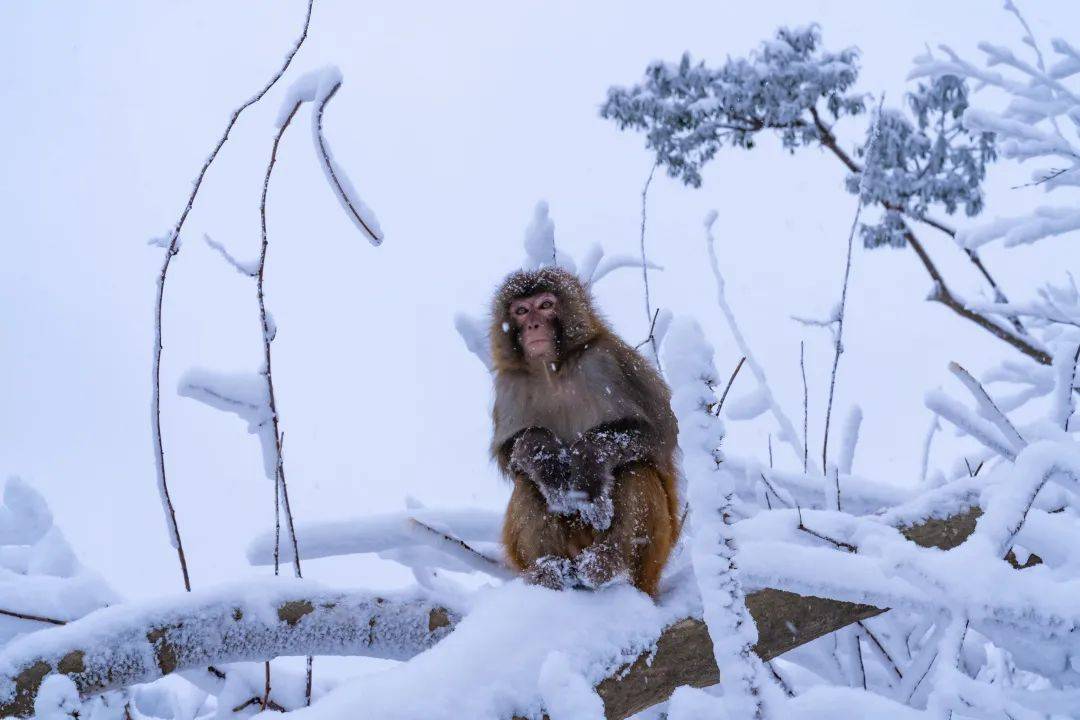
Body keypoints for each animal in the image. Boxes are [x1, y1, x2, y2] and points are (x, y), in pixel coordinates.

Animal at [492, 264, 678, 595]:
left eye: (546, 305)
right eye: (521, 311)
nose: (534, 325)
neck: (553, 369)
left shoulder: (609, 361)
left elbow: (658, 432)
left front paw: (588, 461)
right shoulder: (509, 385)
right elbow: (512, 452)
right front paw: (545, 454)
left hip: (655, 558)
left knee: (636, 468)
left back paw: (607, 565)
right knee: (527, 481)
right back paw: (550, 571)